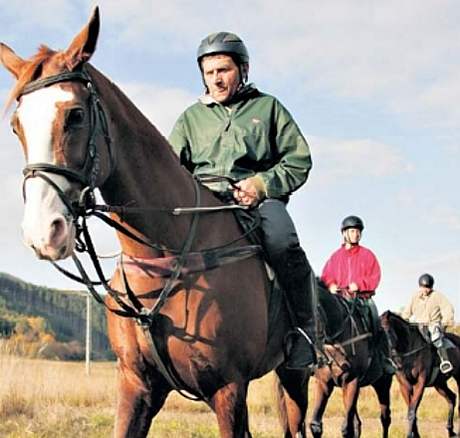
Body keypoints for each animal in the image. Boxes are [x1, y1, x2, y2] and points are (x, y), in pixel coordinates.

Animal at [0, 7, 310, 438]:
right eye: (17, 126)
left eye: (75, 115)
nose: (43, 232)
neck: (167, 255)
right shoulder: (137, 385)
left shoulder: (228, 389)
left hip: (296, 375)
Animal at [310, 284, 392, 438]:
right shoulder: (324, 383)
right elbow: (315, 426)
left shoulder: (351, 382)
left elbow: (346, 429)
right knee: (357, 423)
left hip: (382, 384)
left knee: (385, 418)